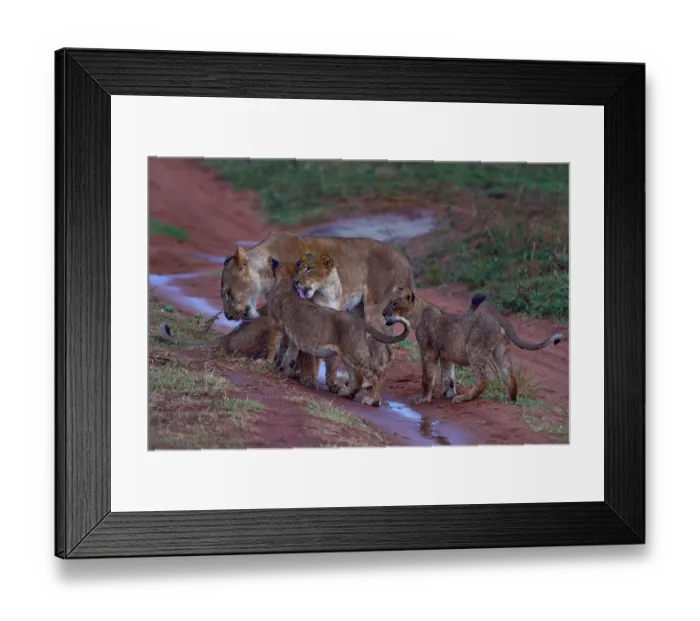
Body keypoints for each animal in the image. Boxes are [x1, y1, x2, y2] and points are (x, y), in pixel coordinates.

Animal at [220, 231, 416, 385]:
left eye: (228, 293)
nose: (228, 316)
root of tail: (406, 263)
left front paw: (304, 375)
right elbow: (287, 341)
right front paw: (286, 367)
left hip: (376, 310)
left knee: (386, 352)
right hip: (357, 311)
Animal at [266, 257, 411, 407]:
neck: (286, 281)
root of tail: (361, 322)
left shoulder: (275, 321)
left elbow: (272, 344)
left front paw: (265, 363)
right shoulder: (294, 339)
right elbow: (289, 355)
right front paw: (284, 371)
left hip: (355, 353)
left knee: (376, 373)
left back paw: (373, 400)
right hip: (348, 355)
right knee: (357, 377)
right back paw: (346, 393)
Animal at [381, 288, 563, 405]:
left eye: (394, 304)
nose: (383, 313)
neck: (417, 315)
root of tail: (497, 317)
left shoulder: (429, 351)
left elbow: (427, 377)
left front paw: (423, 399)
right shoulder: (446, 354)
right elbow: (448, 376)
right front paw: (447, 393)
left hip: (475, 349)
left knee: (483, 379)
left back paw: (463, 398)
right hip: (501, 350)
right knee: (509, 374)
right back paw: (510, 400)